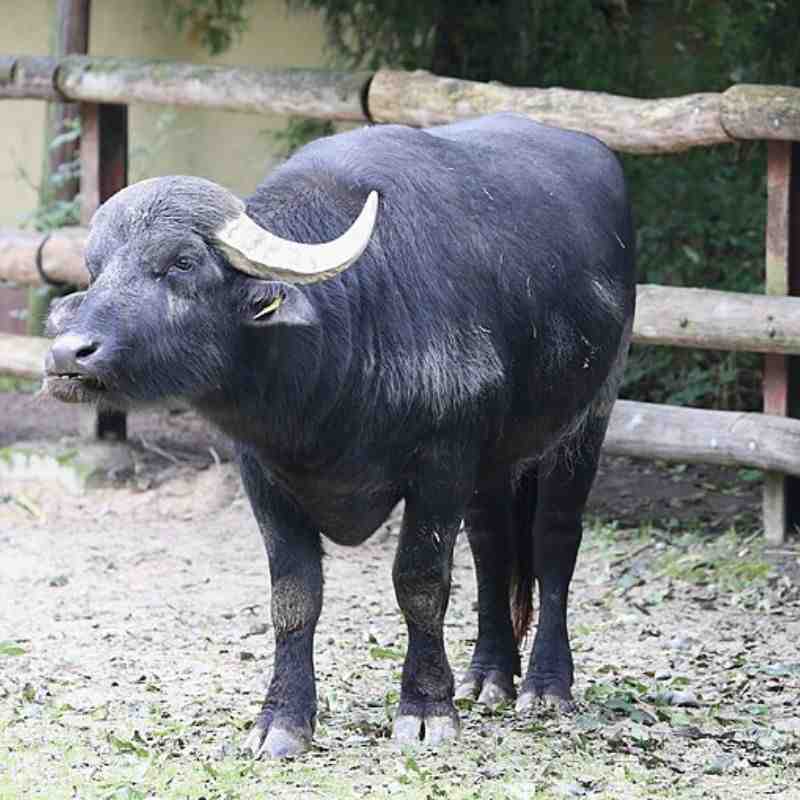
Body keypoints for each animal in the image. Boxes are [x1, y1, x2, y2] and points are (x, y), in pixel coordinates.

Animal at [44, 113, 636, 757]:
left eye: (181, 262)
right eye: (97, 268)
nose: (68, 355)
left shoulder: (442, 462)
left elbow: (420, 582)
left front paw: (426, 708)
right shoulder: (264, 475)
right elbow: (293, 597)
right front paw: (282, 720)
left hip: (589, 416)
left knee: (555, 540)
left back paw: (546, 686)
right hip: (494, 458)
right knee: (491, 544)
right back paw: (487, 677)